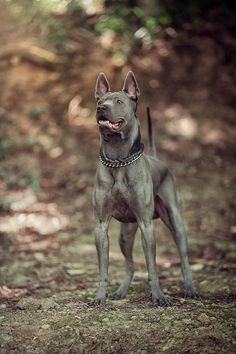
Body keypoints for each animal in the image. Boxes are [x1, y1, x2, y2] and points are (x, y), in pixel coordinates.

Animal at [91, 70, 198, 306]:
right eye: (100, 101)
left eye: (119, 101)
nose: (101, 108)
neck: (118, 159)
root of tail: (156, 158)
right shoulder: (101, 226)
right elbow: (103, 269)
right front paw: (100, 296)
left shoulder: (146, 225)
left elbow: (152, 266)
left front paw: (158, 296)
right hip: (125, 234)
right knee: (130, 264)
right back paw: (121, 291)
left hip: (175, 222)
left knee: (184, 258)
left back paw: (190, 288)